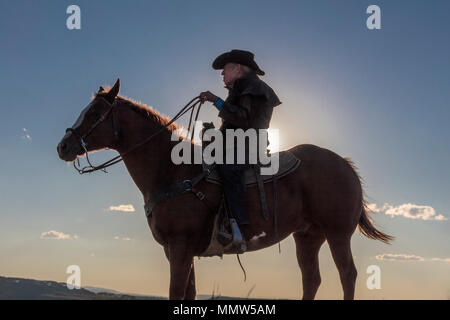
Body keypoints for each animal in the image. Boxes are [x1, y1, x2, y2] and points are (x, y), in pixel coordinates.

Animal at [57, 79, 394, 300]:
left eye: (94, 113)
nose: (63, 146)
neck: (172, 171)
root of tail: (345, 165)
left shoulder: (179, 247)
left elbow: (176, 292)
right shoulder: (178, 250)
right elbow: (189, 293)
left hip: (338, 234)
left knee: (347, 275)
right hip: (308, 236)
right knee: (311, 279)